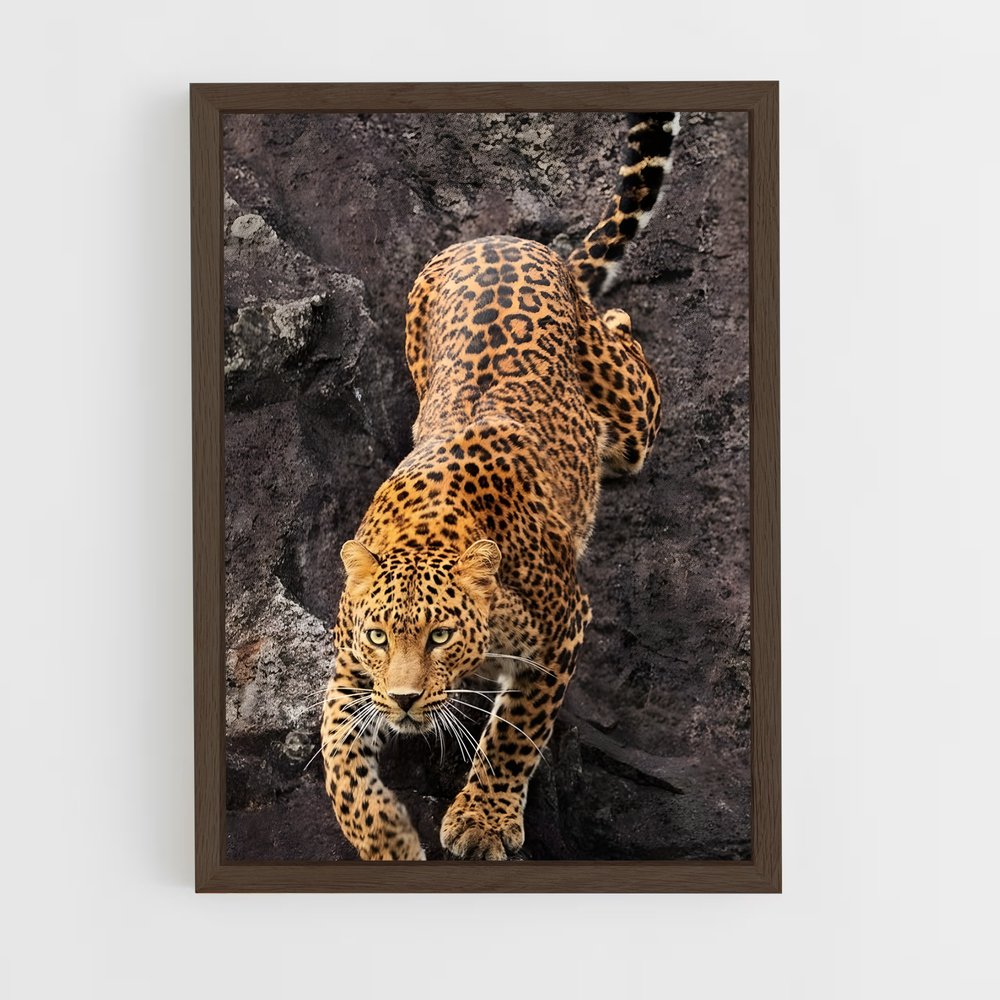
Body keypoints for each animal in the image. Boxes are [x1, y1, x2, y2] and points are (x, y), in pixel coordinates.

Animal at [321, 112, 680, 860]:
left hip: (628, 412)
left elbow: (517, 730)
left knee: (624, 349)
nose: (404, 702)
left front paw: (482, 819)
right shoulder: (349, 667)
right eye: (380, 637)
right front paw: (385, 840)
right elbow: (339, 755)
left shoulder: (560, 629)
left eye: (440, 636)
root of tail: (502, 237)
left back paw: (616, 322)